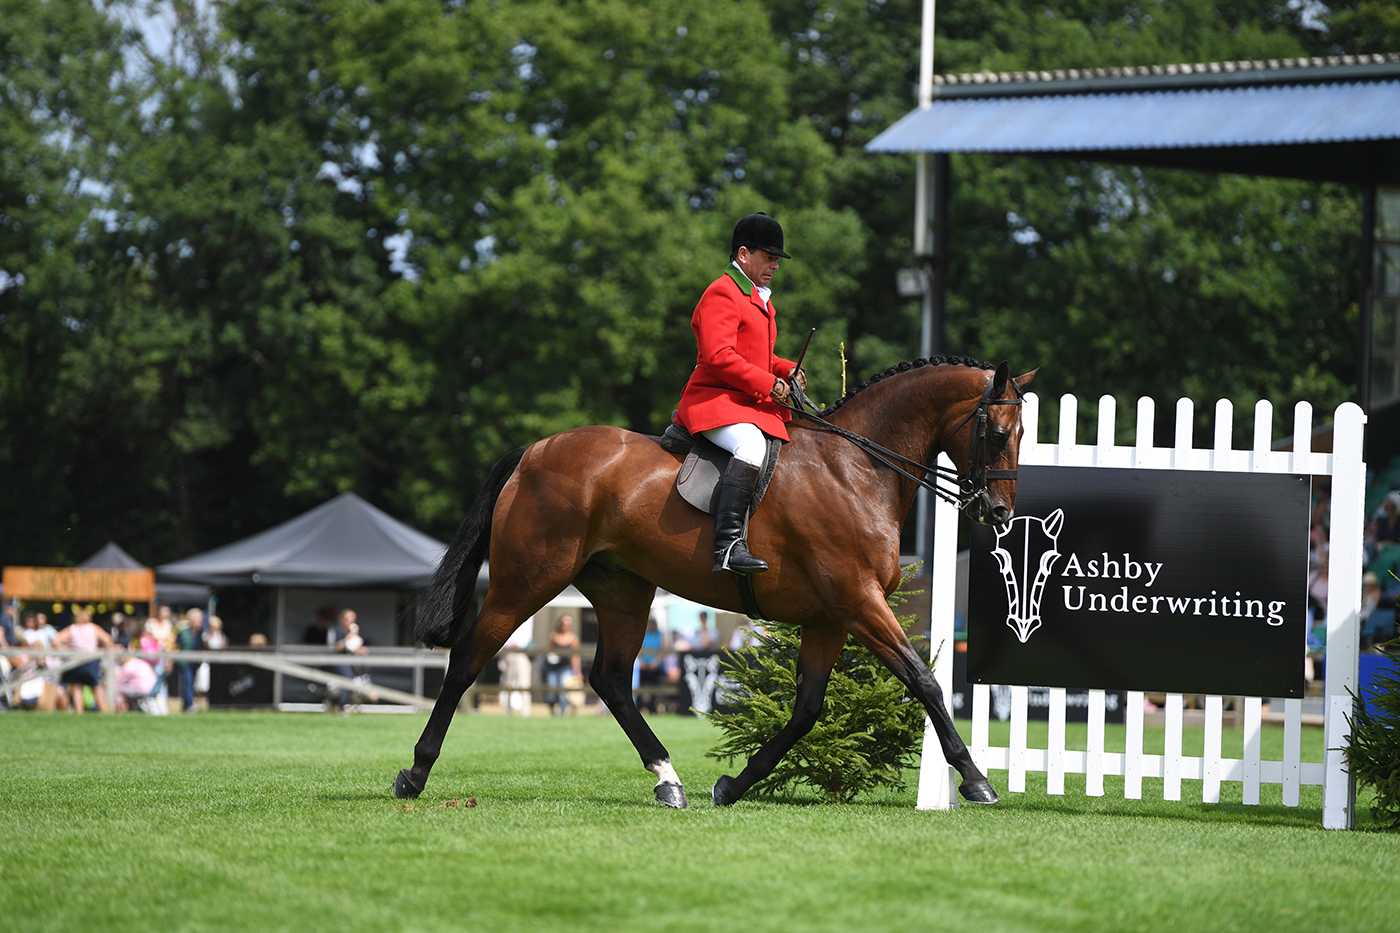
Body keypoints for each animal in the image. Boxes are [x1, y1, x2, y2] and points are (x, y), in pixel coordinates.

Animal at [394, 356, 1035, 808]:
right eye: (997, 432)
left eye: (1024, 432)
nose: (999, 513)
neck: (856, 469)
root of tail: (535, 451)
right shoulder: (859, 604)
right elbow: (924, 681)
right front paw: (975, 779)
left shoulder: (829, 618)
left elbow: (807, 708)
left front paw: (734, 784)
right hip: (527, 580)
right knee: (467, 660)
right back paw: (416, 772)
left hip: (623, 590)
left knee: (611, 680)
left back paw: (668, 780)